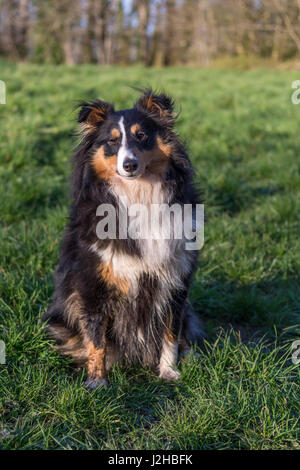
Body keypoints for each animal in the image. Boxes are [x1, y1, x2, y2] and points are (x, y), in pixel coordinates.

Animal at [42, 90, 204, 388]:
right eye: (112, 141)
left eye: (142, 136)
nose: (129, 165)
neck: (138, 193)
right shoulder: (92, 283)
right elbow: (96, 337)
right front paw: (97, 382)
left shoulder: (175, 279)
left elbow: (170, 331)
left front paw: (169, 372)